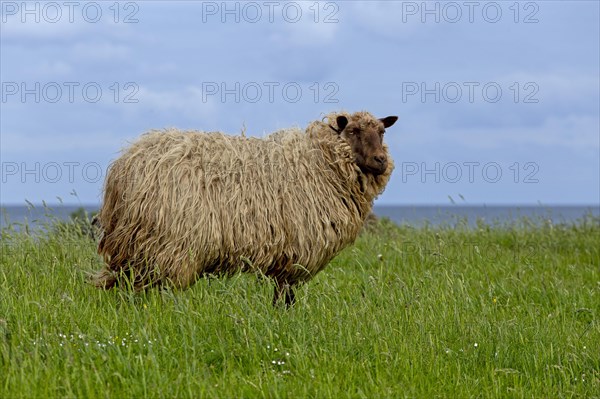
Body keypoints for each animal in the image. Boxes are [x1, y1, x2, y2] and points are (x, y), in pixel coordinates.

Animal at [91, 111, 396, 306]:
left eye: (382, 132)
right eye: (353, 131)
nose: (380, 160)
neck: (320, 160)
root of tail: (124, 165)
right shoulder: (296, 252)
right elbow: (285, 297)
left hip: (138, 244)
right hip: (166, 242)